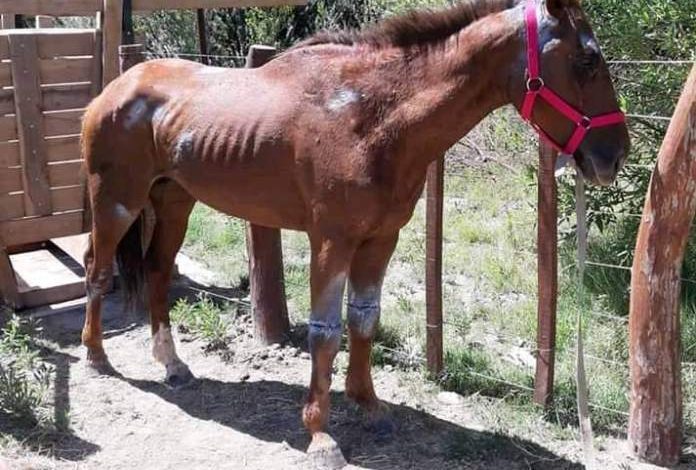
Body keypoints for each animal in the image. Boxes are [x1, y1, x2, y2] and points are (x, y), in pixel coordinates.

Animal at [80, 0, 629, 464]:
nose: (615, 155)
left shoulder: (380, 240)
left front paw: (368, 404)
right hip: (115, 202)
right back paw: (97, 357)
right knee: (98, 270)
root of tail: (116, 88)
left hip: (174, 202)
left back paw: (172, 364)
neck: (372, 116)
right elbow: (325, 333)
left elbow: (364, 318)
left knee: (155, 271)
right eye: (586, 60)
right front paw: (320, 434)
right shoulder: (331, 242)